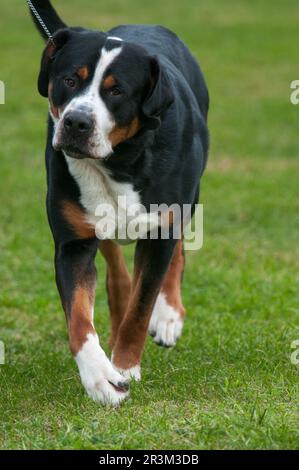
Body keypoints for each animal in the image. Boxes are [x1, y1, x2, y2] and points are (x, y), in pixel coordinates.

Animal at [29, 0, 210, 404]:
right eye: (70, 80)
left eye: (116, 92)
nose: (77, 122)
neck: (119, 161)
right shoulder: (73, 244)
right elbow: (79, 319)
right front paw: (100, 376)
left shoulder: (162, 228)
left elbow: (142, 307)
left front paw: (126, 364)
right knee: (114, 264)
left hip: (188, 200)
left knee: (176, 252)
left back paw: (168, 314)